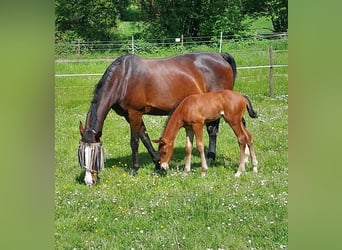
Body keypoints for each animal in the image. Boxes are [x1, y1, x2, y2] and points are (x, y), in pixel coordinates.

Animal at [78, 51, 236, 185]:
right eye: (81, 155)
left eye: (94, 155)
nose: (89, 181)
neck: (123, 77)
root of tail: (221, 56)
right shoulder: (130, 116)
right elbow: (145, 139)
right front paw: (158, 163)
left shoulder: (135, 113)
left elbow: (134, 142)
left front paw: (135, 169)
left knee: (212, 131)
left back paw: (209, 159)